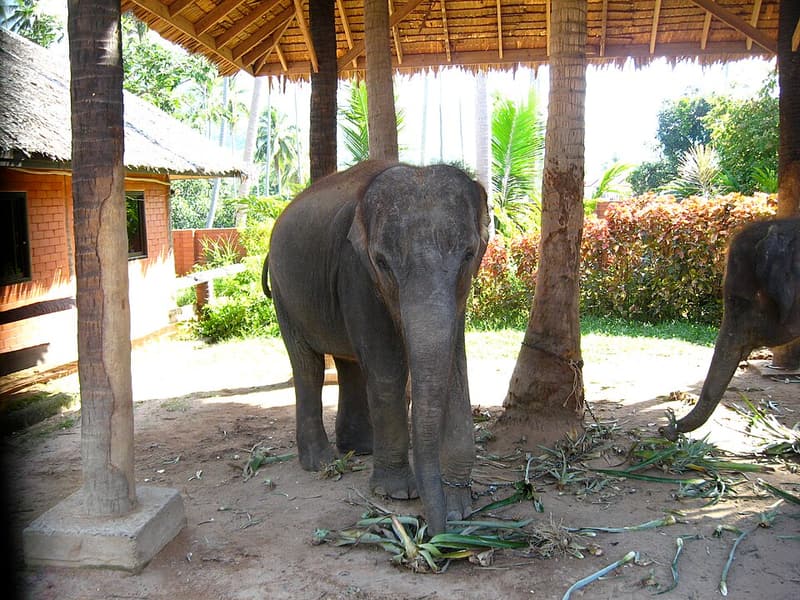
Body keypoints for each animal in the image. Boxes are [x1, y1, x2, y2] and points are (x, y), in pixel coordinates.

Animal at [263, 160, 489, 534]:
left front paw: (459, 506)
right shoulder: (355, 269)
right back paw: (321, 462)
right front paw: (397, 494)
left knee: (349, 363)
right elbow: (387, 370)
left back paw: (361, 449)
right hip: (285, 294)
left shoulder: (459, 291)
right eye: (382, 262)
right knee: (308, 366)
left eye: (469, 254)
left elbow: (455, 369)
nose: (436, 534)